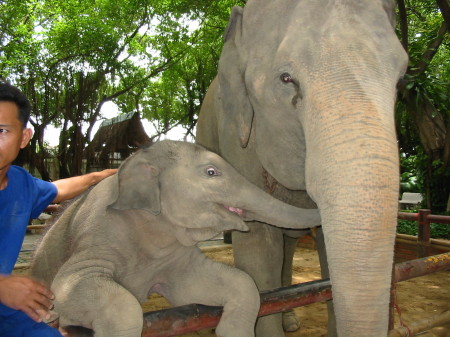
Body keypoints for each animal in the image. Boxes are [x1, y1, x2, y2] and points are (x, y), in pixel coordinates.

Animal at [197, 0, 408, 336]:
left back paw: (292, 321)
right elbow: (258, 252)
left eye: (401, 80)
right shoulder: (236, 139)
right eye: (286, 79)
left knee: (289, 244)